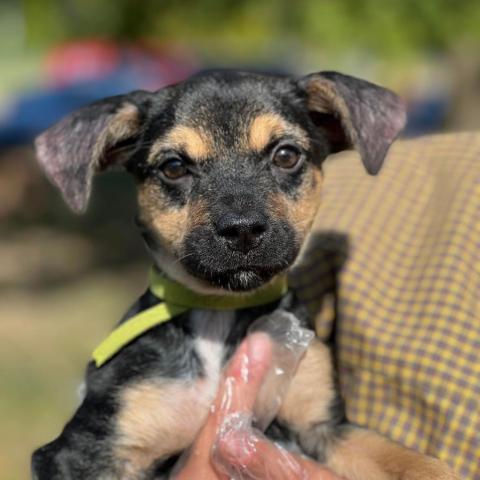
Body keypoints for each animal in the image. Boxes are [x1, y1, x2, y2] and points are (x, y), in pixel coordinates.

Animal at [29, 69, 458, 478]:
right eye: (173, 167)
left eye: (286, 155)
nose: (243, 230)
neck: (220, 311)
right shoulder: (87, 449)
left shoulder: (326, 427)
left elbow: (411, 460)